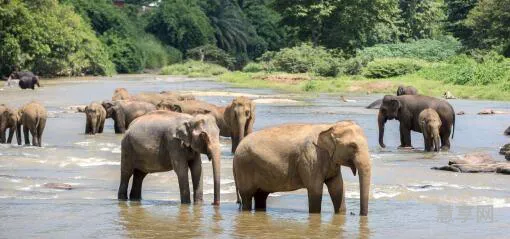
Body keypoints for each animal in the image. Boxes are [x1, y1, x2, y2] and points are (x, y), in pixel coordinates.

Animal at [234, 120, 370, 216]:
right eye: (353, 146)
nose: (357, 214)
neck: (330, 126)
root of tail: (236, 150)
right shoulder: (311, 158)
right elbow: (315, 189)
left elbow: (338, 188)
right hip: (243, 166)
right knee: (247, 196)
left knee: (261, 195)